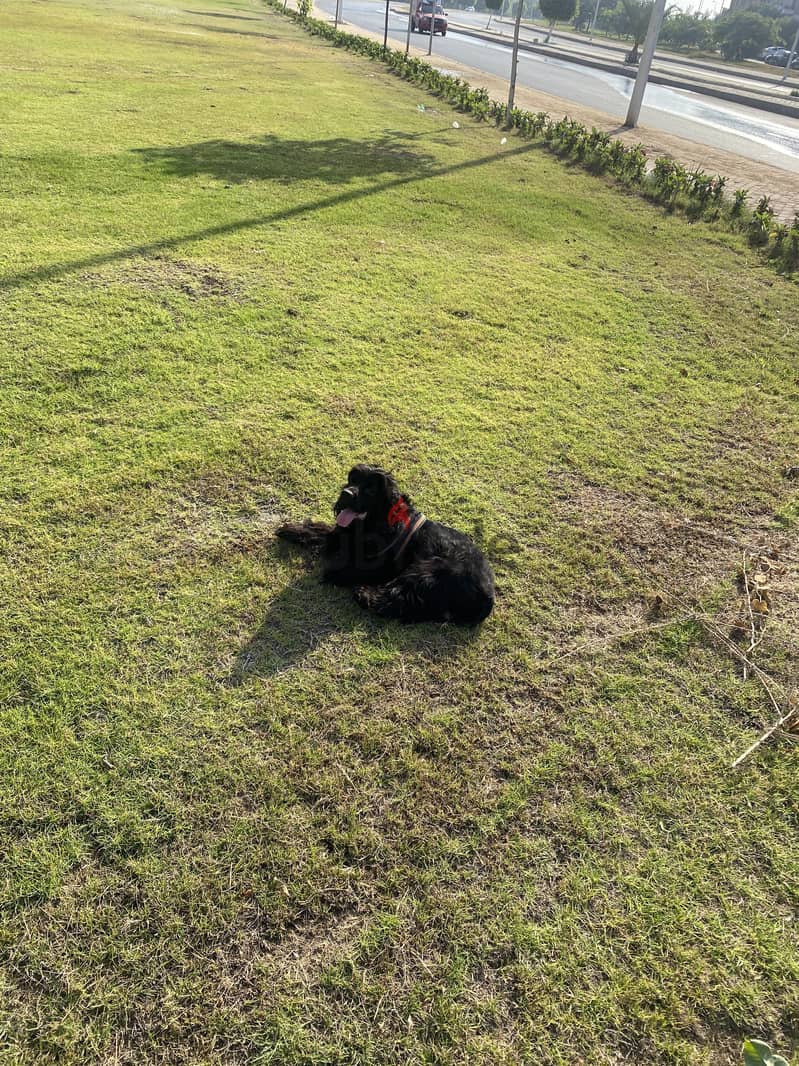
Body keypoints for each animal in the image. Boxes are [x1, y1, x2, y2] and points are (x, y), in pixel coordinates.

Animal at [279, 464, 498, 622]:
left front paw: (335, 572)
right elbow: (322, 531)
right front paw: (291, 529)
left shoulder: (383, 566)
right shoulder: (345, 534)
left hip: (428, 569)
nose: (346, 494)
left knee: (397, 599)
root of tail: (488, 598)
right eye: (352, 479)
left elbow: (349, 567)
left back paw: (365, 593)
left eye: (370, 489)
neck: (378, 520)